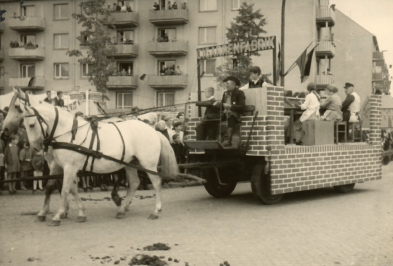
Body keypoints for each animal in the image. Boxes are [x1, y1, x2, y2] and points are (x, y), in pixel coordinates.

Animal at [10, 91, 178, 224]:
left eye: (31, 124)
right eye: (24, 124)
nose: (35, 148)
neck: (68, 133)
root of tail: (153, 131)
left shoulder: (69, 167)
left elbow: (65, 190)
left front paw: (57, 215)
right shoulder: (65, 167)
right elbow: (68, 188)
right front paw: (78, 213)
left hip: (148, 164)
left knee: (156, 182)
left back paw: (155, 210)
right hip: (131, 163)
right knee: (135, 183)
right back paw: (122, 209)